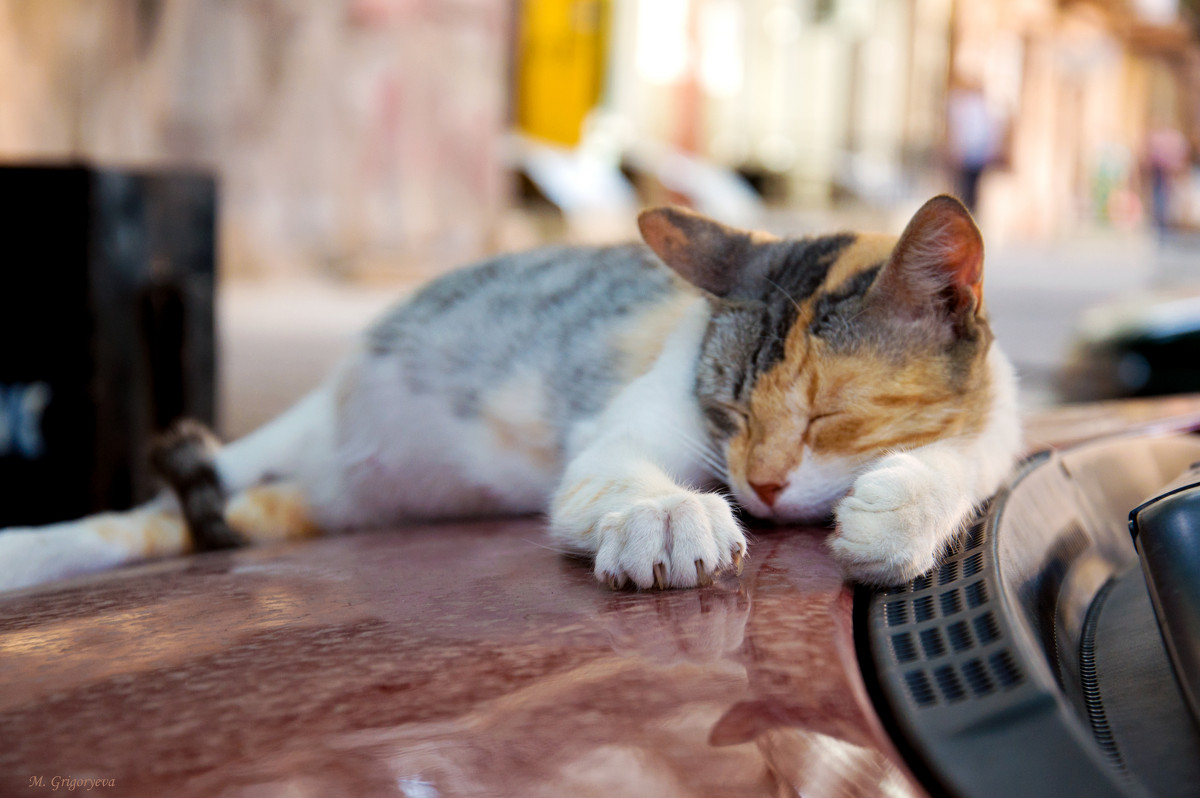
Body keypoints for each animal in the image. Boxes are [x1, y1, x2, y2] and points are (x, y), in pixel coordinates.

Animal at [0, 193, 1022, 590]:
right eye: (727, 410)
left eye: (827, 417)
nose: (762, 486)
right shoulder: (623, 437)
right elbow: (622, 474)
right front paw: (670, 517)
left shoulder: (1001, 421)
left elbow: (966, 458)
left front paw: (899, 510)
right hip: (270, 448)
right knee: (140, 511)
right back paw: (24, 552)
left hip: (304, 500)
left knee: (170, 523)